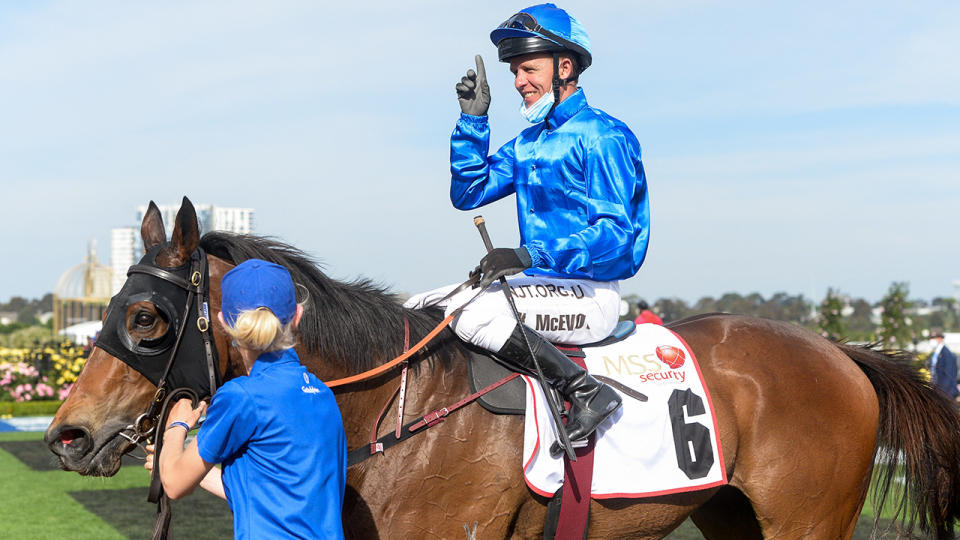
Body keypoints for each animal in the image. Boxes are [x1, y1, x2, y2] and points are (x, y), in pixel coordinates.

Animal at [43, 199, 960, 540]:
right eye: (115, 309)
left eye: (147, 319)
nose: (65, 434)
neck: (391, 411)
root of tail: (842, 352)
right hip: (734, 517)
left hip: (807, 522)